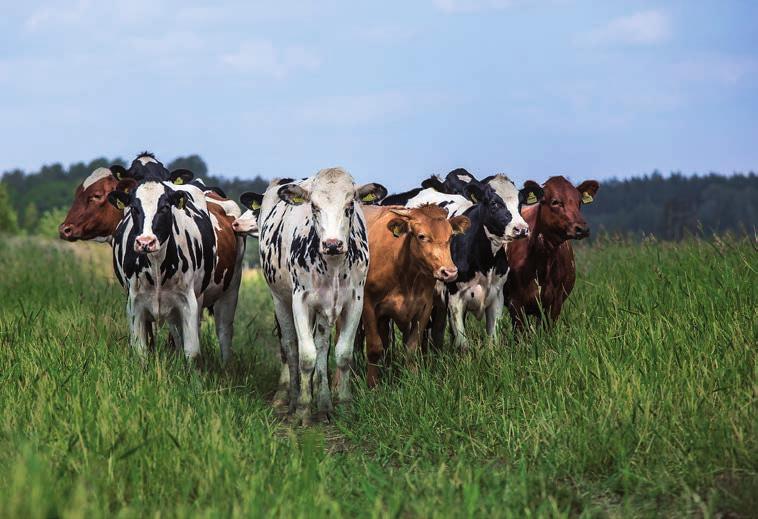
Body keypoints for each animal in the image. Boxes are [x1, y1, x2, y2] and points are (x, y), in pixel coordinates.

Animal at [107, 174, 220, 358]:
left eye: (165, 207)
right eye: (134, 208)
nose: (146, 242)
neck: (157, 265)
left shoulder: (187, 302)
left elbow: (191, 350)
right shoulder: (135, 303)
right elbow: (141, 351)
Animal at [360, 205, 470, 388]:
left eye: (450, 236)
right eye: (421, 236)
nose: (449, 272)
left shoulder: (424, 307)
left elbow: (411, 347)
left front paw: (413, 379)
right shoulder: (367, 304)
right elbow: (374, 347)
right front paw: (372, 385)